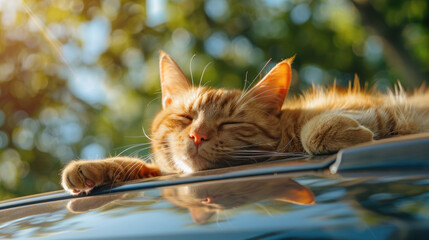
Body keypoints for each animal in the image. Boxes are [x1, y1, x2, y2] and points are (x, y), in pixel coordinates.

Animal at [59, 50, 428, 195]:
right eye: (185, 117)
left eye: (230, 124)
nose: (197, 136)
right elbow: (145, 166)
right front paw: (91, 168)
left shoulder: (389, 109)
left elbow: (316, 130)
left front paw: (347, 132)